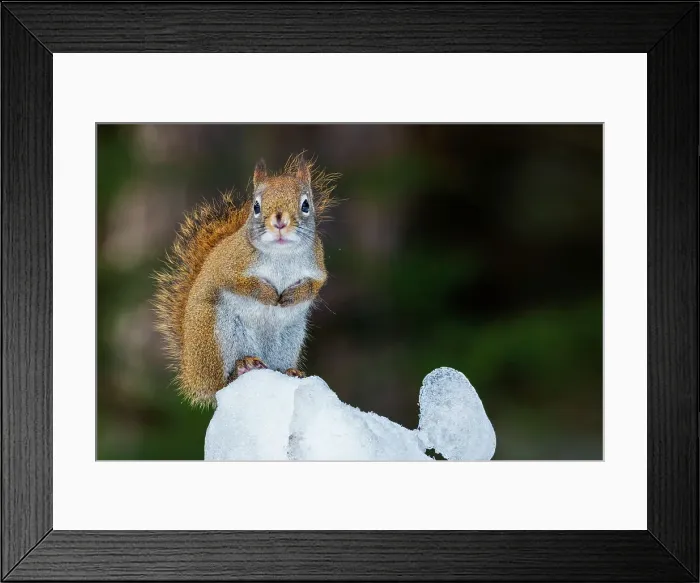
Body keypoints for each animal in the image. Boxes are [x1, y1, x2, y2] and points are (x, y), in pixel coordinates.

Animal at [153, 153, 340, 407]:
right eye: (256, 206)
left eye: (305, 205)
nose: (279, 222)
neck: (281, 253)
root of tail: (192, 375)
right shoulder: (228, 267)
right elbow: (241, 284)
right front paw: (268, 294)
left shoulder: (317, 268)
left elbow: (314, 287)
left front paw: (292, 296)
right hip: (215, 334)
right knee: (221, 383)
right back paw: (241, 368)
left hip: (289, 338)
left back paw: (289, 371)